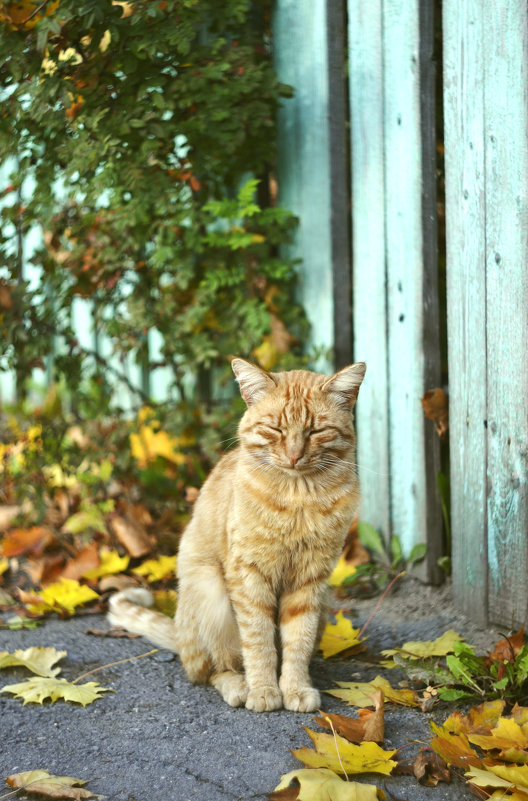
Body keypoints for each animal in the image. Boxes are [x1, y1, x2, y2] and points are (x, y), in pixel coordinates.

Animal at [109, 356, 366, 712]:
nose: (294, 456)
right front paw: (264, 690)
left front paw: (295, 688)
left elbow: (297, 642)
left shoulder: (310, 581)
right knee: (211, 671)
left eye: (316, 431)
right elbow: (258, 640)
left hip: (324, 602)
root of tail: (179, 633)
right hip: (209, 591)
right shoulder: (248, 575)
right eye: (276, 429)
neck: (299, 498)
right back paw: (239, 686)